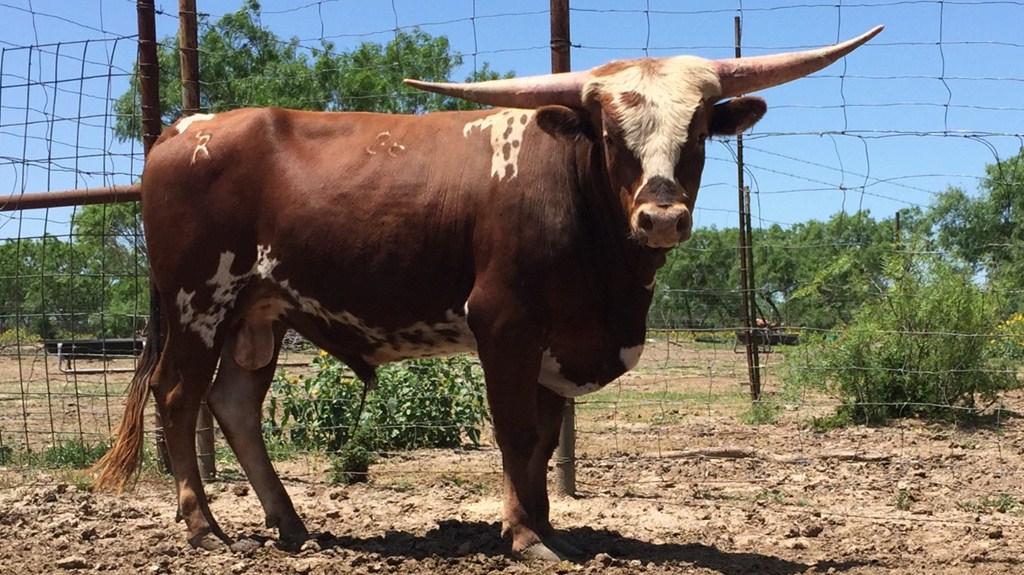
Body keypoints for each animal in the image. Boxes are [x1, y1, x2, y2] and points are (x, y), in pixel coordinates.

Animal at [93, 26, 881, 561]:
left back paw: (292, 525)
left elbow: (543, 440)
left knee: (233, 405)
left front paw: (542, 523)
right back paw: (203, 526)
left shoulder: (557, 341)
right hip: (200, 303)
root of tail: (181, 130)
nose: (660, 217)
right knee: (178, 398)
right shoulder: (504, 322)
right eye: (610, 134)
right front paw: (527, 537)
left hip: (260, 315)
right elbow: (518, 432)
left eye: (697, 135)